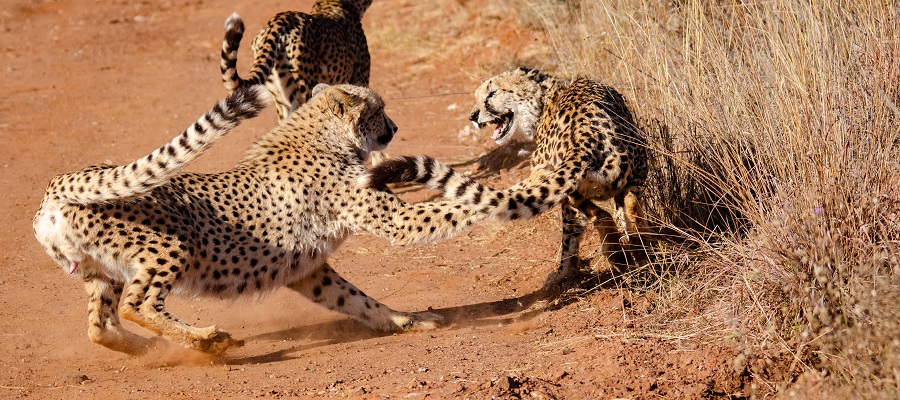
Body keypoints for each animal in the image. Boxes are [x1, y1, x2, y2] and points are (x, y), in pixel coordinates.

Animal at [31, 84, 486, 356]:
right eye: (378, 111)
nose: (393, 126)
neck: (321, 135)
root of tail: (60, 182)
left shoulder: (306, 269)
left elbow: (355, 298)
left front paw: (403, 320)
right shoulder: (394, 220)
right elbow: (447, 209)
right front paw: (501, 200)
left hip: (100, 270)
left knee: (99, 327)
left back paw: (153, 349)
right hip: (171, 246)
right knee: (135, 305)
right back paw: (206, 340)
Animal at [362, 68, 652, 288]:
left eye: (493, 93)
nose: (473, 116)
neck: (546, 99)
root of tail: (585, 137)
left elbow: (570, 235)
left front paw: (563, 273)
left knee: (606, 214)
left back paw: (621, 253)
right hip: (622, 178)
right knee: (626, 209)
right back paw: (637, 250)